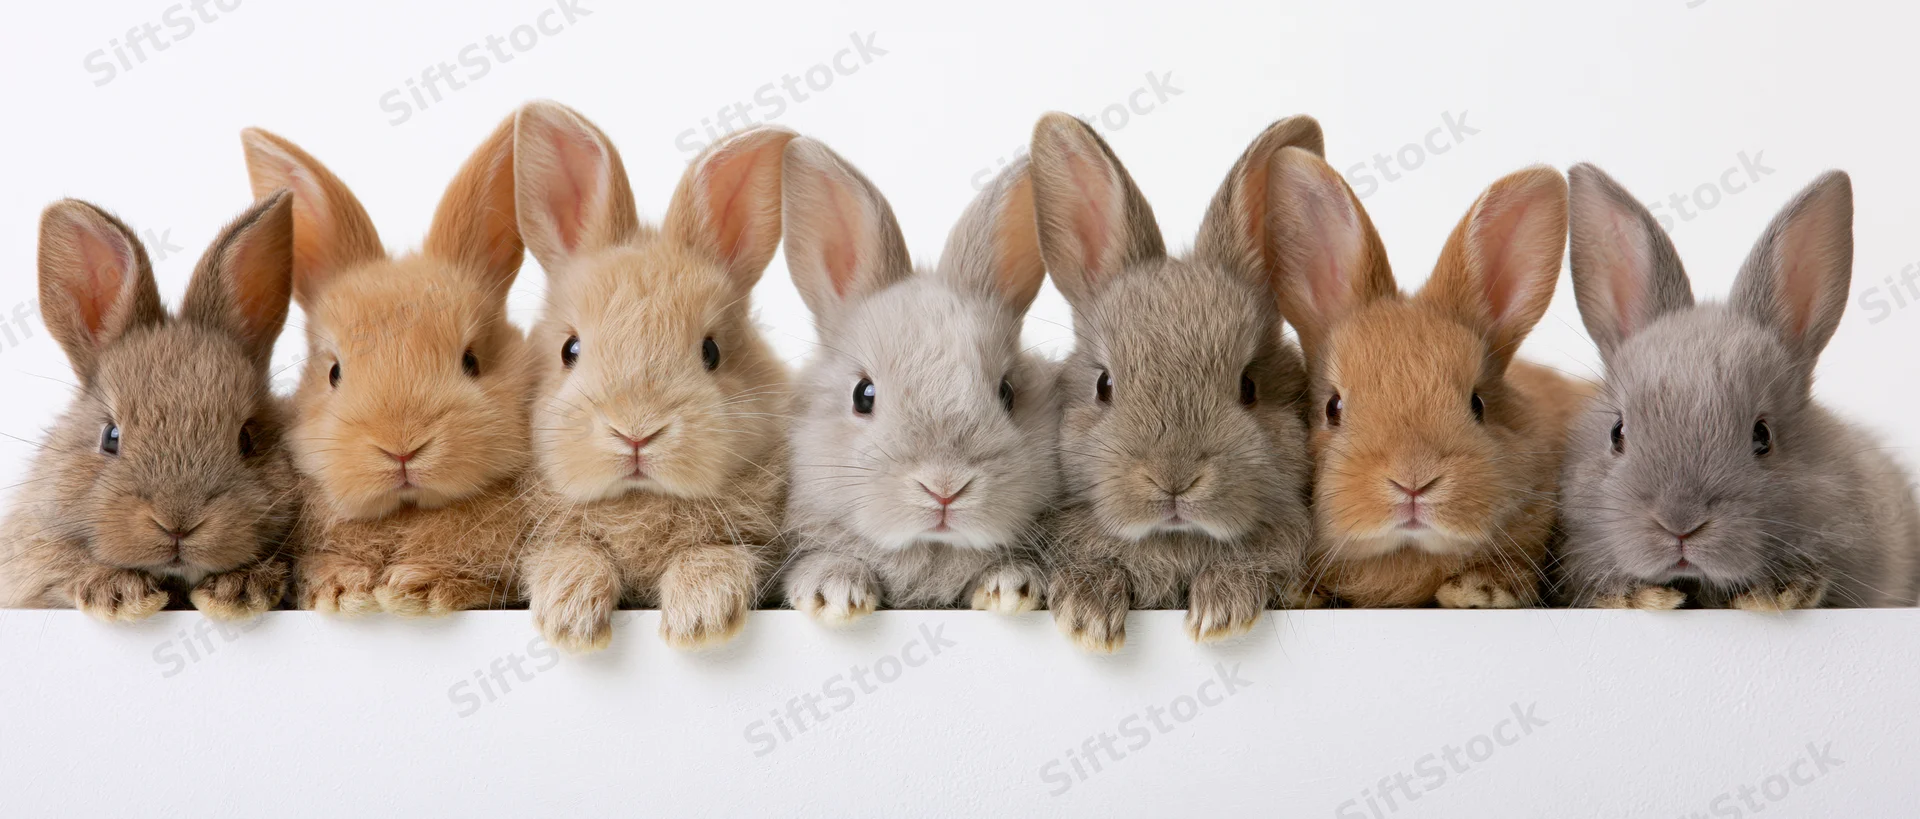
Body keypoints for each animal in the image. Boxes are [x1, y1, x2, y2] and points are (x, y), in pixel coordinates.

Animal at [241, 114, 536, 616]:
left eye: (472, 361)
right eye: (334, 372)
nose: (402, 448)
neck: (405, 513)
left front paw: (417, 585)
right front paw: (345, 588)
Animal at [510, 101, 795, 652]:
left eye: (711, 351)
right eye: (569, 349)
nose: (636, 432)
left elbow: (711, 554)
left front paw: (701, 618)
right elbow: (572, 551)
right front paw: (568, 616)